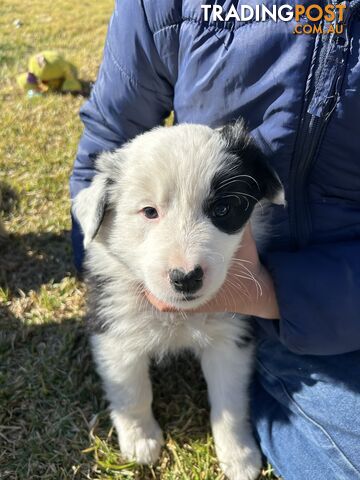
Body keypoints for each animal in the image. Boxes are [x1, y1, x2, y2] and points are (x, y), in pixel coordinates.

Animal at [73, 121, 284, 480]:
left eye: (222, 209)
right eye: (149, 212)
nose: (186, 277)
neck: (180, 315)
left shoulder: (231, 337)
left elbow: (229, 402)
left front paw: (239, 456)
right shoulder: (115, 331)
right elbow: (132, 392)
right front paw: (140, 440)